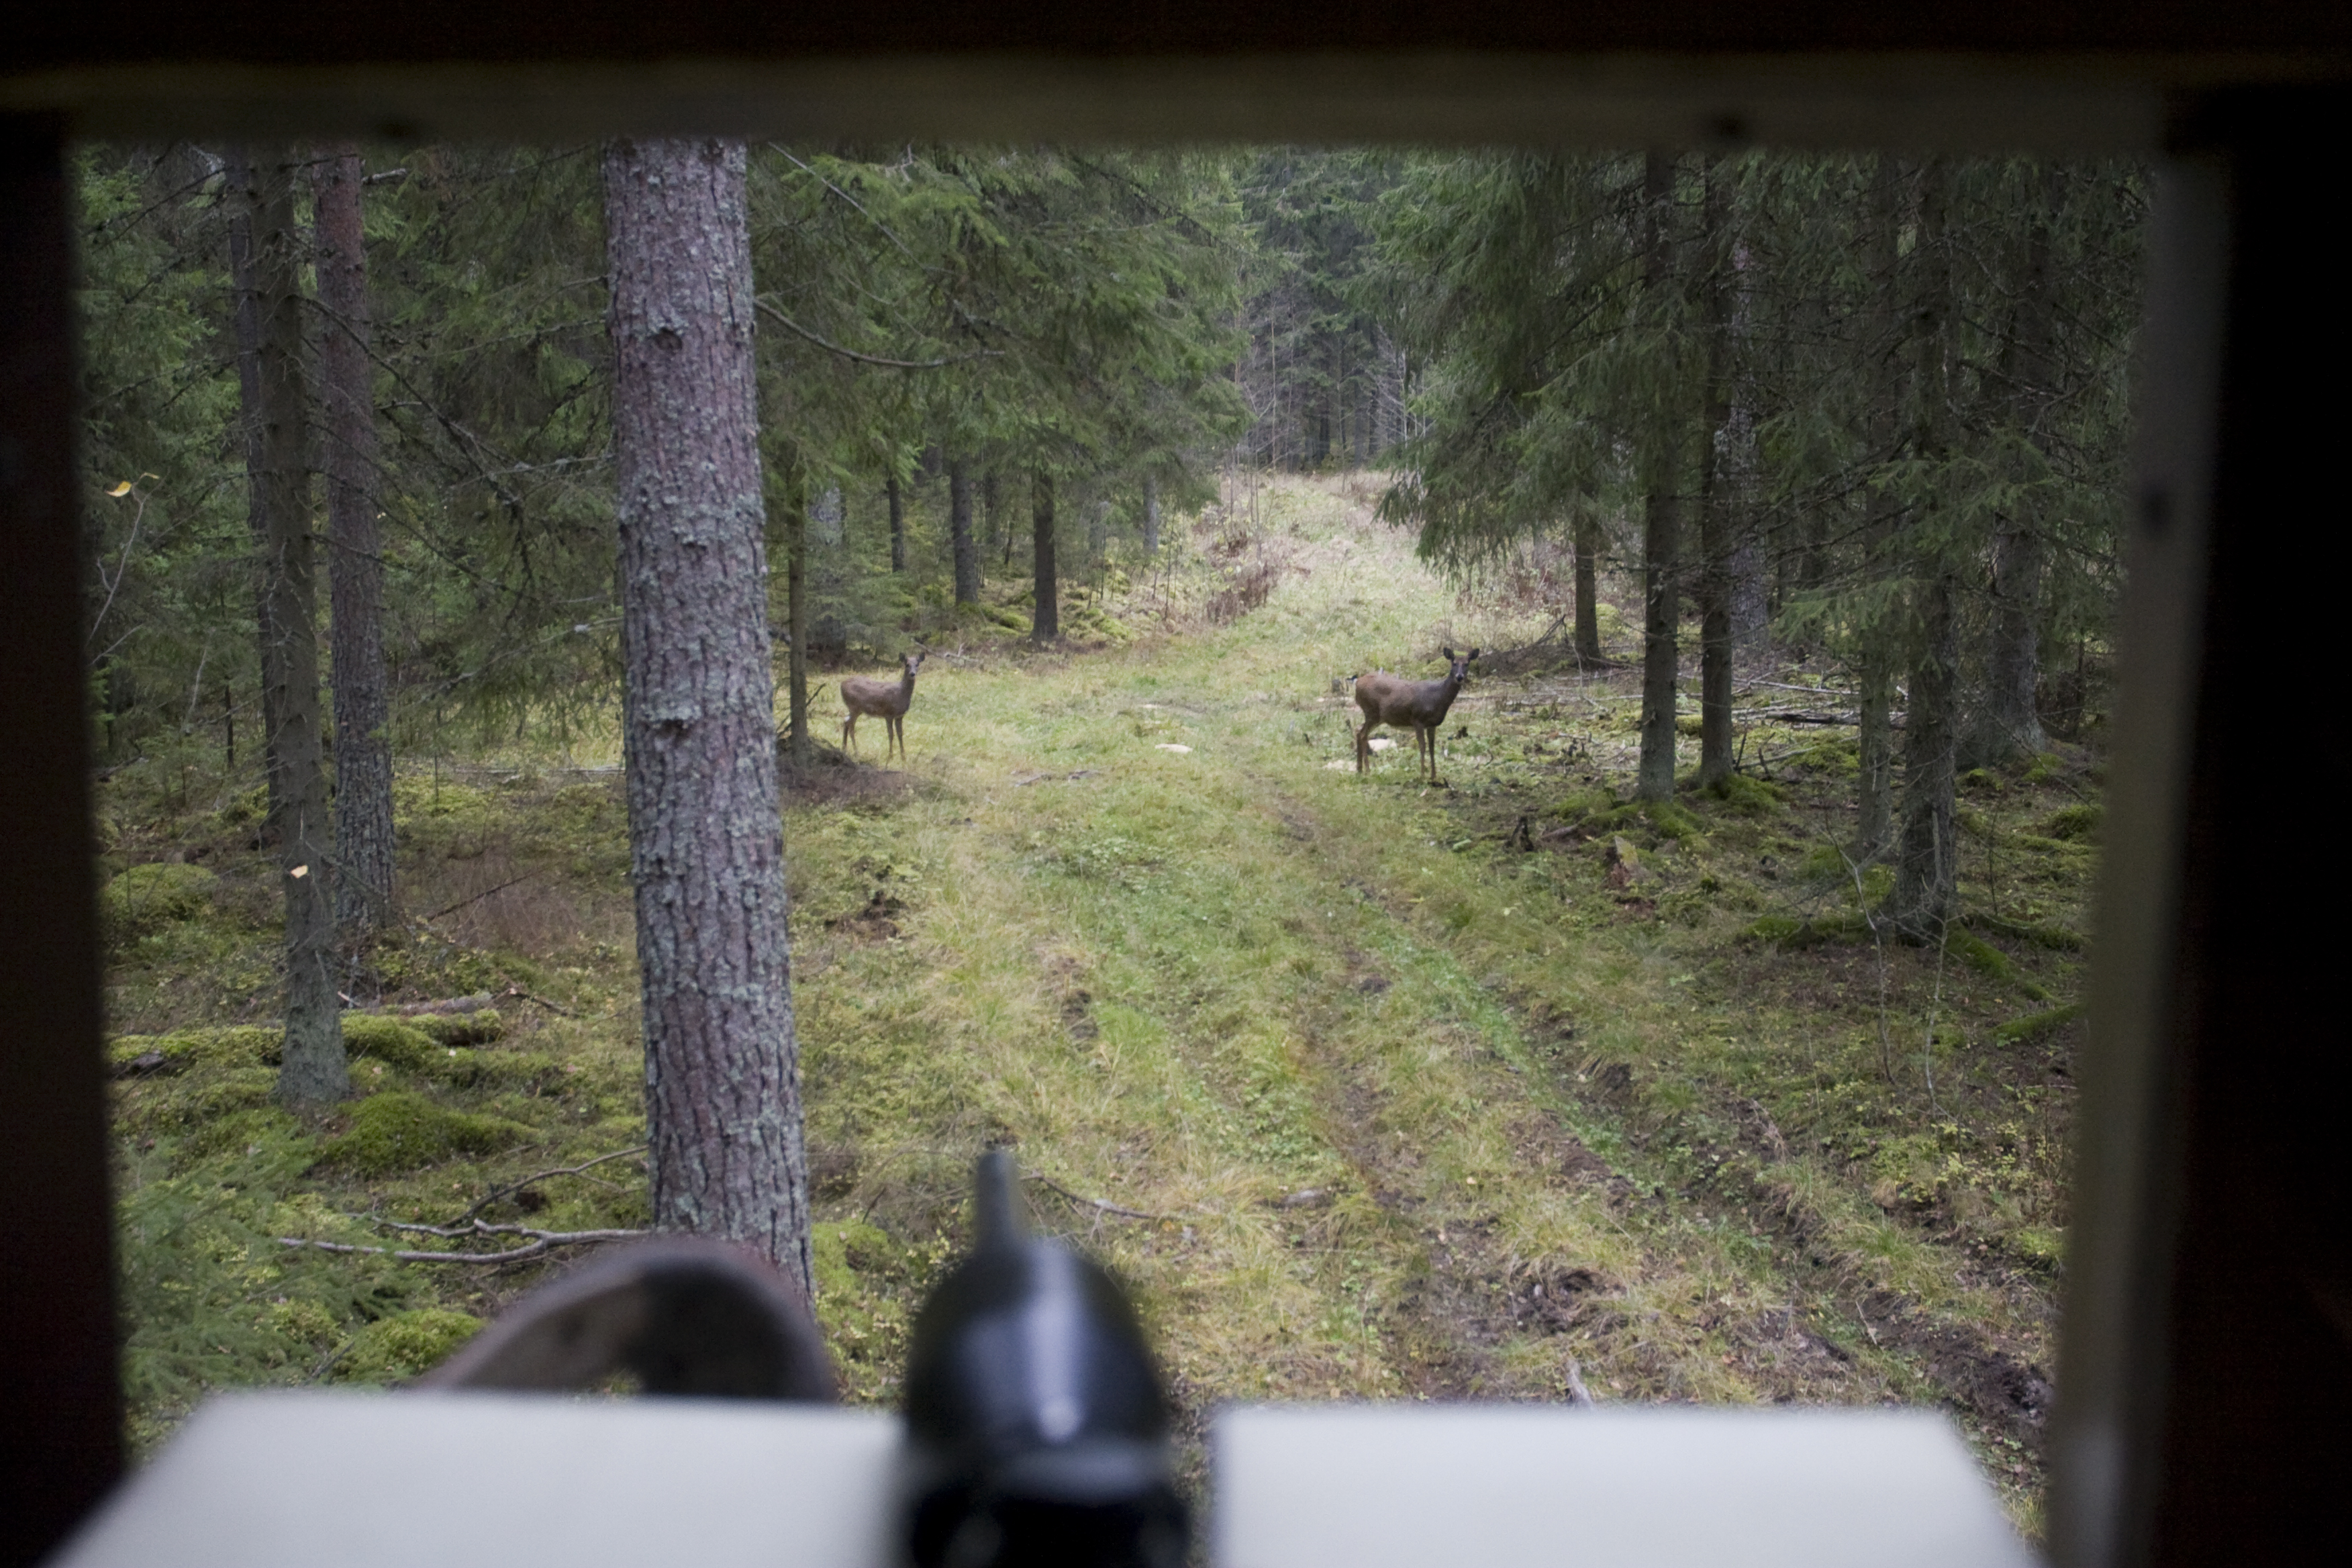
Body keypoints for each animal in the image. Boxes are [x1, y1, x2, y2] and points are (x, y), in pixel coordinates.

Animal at [842, 653, 922, 761]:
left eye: (917, 664)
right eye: (907, 664)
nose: (912, 674)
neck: (901, 693)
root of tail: (841, 685)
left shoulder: (900, 716)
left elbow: (900, 734)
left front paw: (903, 757)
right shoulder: (888, 714)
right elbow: (891, 734)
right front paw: (890, 756)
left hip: (854, 709)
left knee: (845, 722)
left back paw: (844, 749)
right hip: (854, 707)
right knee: (851, 727)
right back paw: (856, 753)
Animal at [1355, 644, 1477, 785]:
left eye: (1467, 663)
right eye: (1454, 663)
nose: (1459, 676)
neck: (1437, 697)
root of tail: (1357, 683)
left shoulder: (1432, 724)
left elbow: (1432, 748)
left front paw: (1434, 776)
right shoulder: (1418, 719)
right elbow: (1422, 746)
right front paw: (1422, 776)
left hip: (1376, 716)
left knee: (1358, 731)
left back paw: (1359, 769)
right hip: (1372, 711)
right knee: (1363, 734)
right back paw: (1368, 770)